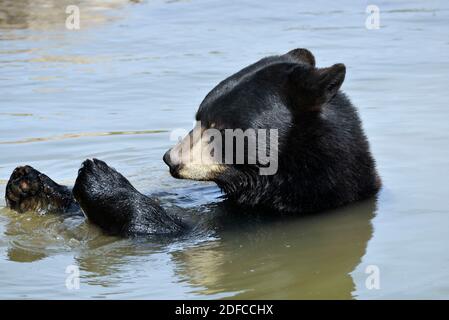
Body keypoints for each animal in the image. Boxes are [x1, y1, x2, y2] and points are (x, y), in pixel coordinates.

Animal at [5, 48, 380, 236]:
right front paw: (28, 185)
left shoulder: (280, 214)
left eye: (217, 126)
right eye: (199, 117)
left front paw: (99, 177)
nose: (170, 159)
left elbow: (166, 228)